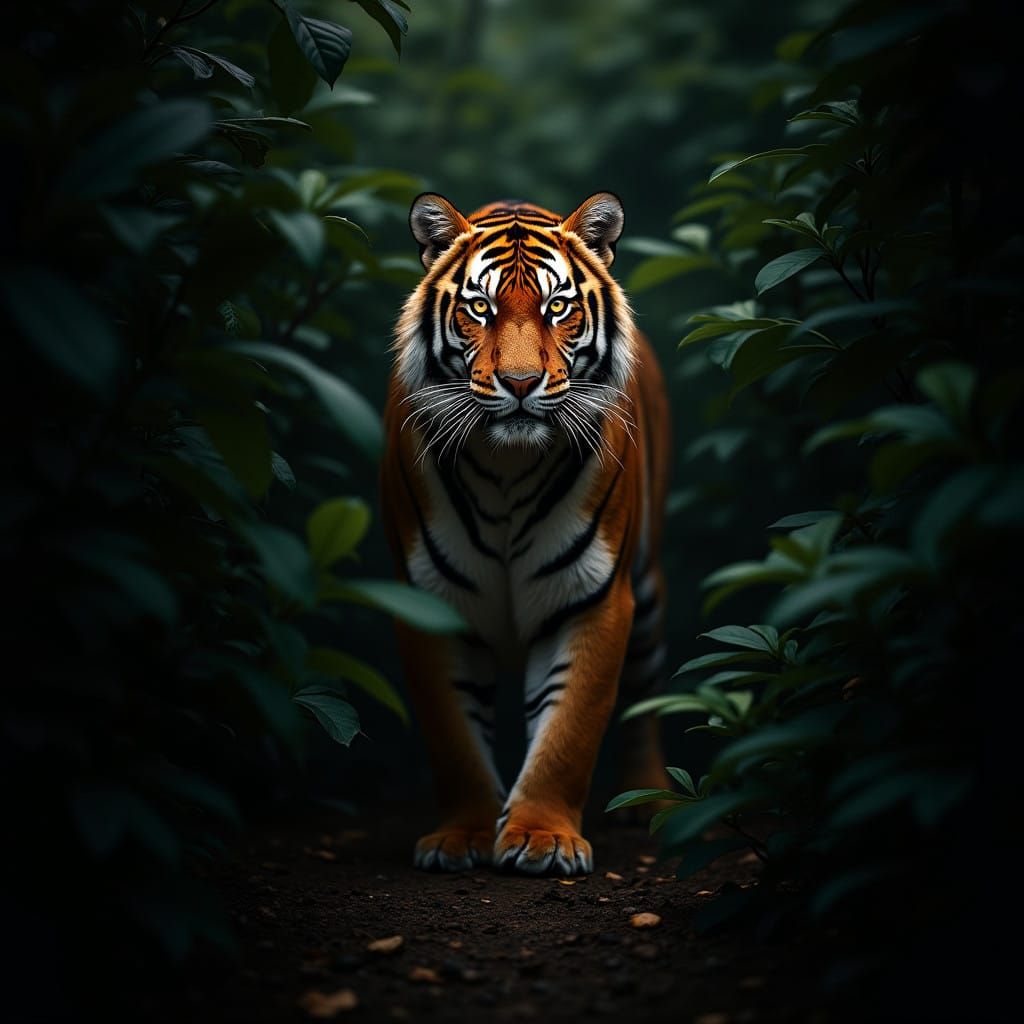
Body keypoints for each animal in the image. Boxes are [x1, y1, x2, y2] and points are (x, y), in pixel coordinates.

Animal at [380, 191, 671, 876]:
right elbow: (453, 735)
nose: (518, 384)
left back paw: (650, 796)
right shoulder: (429, 601)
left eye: (556, 307)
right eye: (480, 308)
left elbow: (569, 729)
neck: (506, 468)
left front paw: (542, 838)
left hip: (646, 591)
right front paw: (461, 837)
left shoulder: (594, 598)